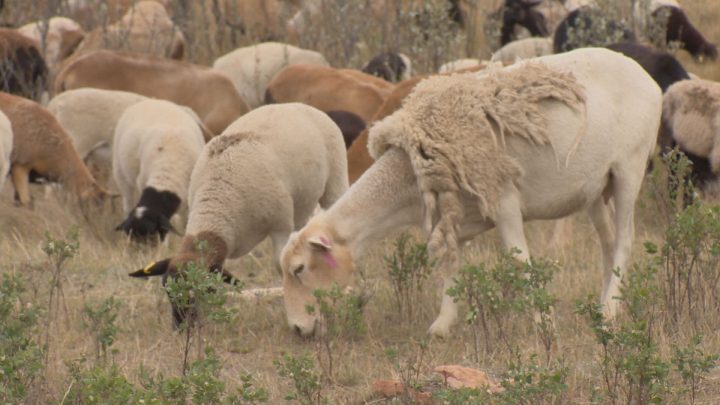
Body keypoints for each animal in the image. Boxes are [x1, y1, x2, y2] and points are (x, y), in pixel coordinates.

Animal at [113, 99, 207, 241]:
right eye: (130, 233)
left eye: (151, 232)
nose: (135, 248)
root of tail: (153, 100)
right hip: (121, 173)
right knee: (128, 203)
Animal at [127, 102, 349, 326]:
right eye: (167, 289)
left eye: (206, 290)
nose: (182, 328)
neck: (218, 202)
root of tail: (297, 105)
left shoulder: (280, 225)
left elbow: (282, 266)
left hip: (335, 179)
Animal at [280, 47, 662, 337]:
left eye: (299, 269)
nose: (298, 329)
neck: (409, 175)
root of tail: (644, 74)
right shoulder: (460, 213)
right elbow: (451, 263)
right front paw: (442, 324)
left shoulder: (503, 200)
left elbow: (519, 263)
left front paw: (543, 323)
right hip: (595, 186)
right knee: (608, 243)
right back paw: (604, 305)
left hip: (629, 168)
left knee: (624, 240)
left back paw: (610, 313)